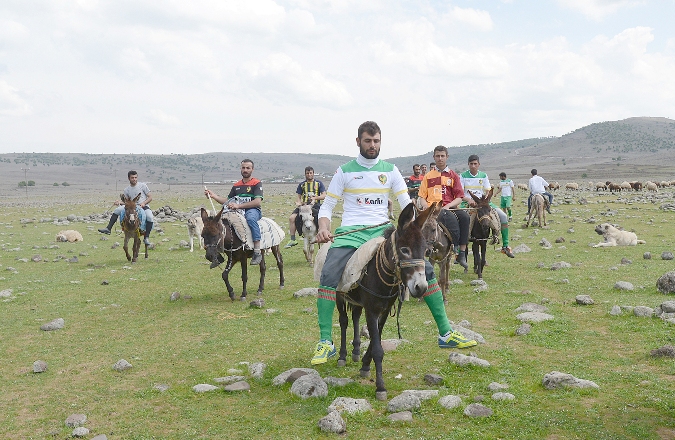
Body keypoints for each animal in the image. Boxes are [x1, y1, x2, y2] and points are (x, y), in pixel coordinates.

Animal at [335, 202, 436, 401]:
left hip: (357, 301)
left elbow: (377, 340)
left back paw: (355, 352)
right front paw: (380, 387)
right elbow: (378, 349)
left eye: (425, 250)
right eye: (404, 250)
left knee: (355, 317)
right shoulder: (371, 311)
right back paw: (342, 356)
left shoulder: (383, 310)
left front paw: (365, 365)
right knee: (343, 321)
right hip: (338, 294)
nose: (421, 287)